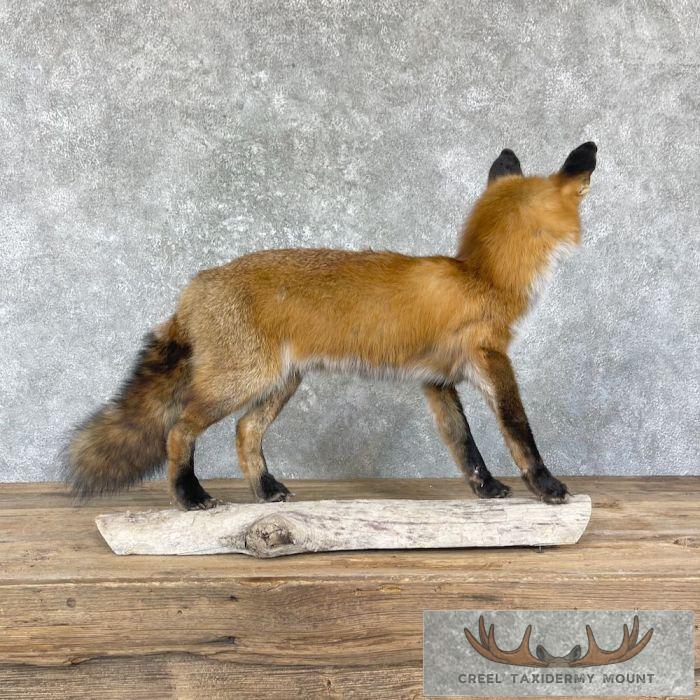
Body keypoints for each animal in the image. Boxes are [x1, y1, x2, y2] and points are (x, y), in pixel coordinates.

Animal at [66, 141, 597, 510]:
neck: (481, 277)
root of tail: (194, 286)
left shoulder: (437, 381)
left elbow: (463, 444)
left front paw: (485, 488)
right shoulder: (491, 360)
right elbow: (518, 429)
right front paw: (547, 486)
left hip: (280, 382)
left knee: (245, 432)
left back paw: (265, 490)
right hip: (241, 382)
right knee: (178, 431)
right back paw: (189, 496)